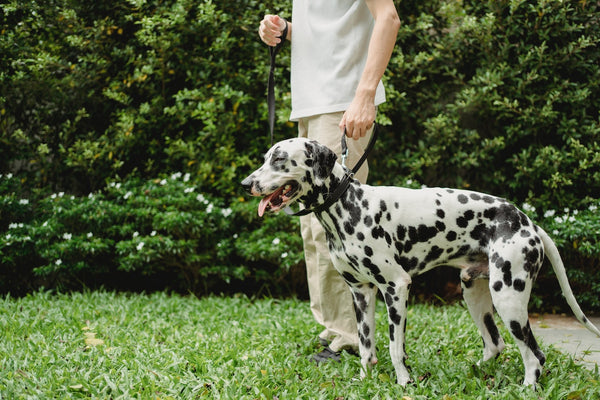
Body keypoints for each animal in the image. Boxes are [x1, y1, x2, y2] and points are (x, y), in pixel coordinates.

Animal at [240, 138, 600, 388]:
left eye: (280, 159)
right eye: (265, 158)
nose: (246, 184)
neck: (349, 206)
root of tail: (526, 221)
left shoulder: (396, 288)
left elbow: (394, 347)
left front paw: (404, 382)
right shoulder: (361, 293)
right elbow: (366, 347)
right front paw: (365, 380)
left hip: (509, 299)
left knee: (535, 356)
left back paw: (526, 386)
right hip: (475, 296)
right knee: (495, 345)